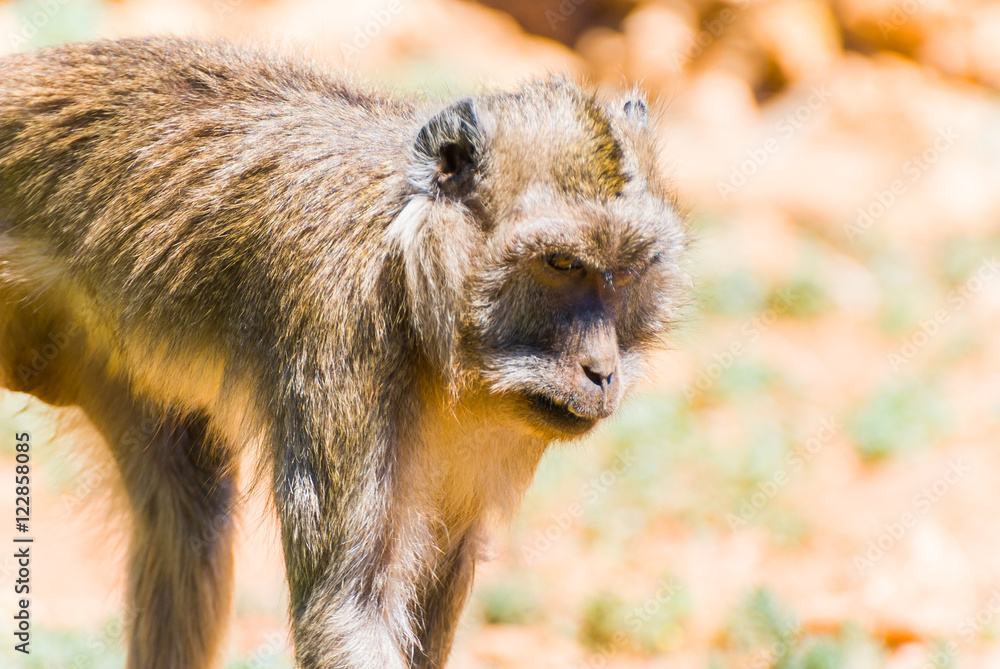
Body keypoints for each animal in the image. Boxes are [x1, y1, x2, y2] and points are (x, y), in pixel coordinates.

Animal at [0, 37, 687, 669]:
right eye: (561, 264)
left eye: (625, 273)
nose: (602, 371)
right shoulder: (341, 331)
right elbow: (350, 609)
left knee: (185, 508)